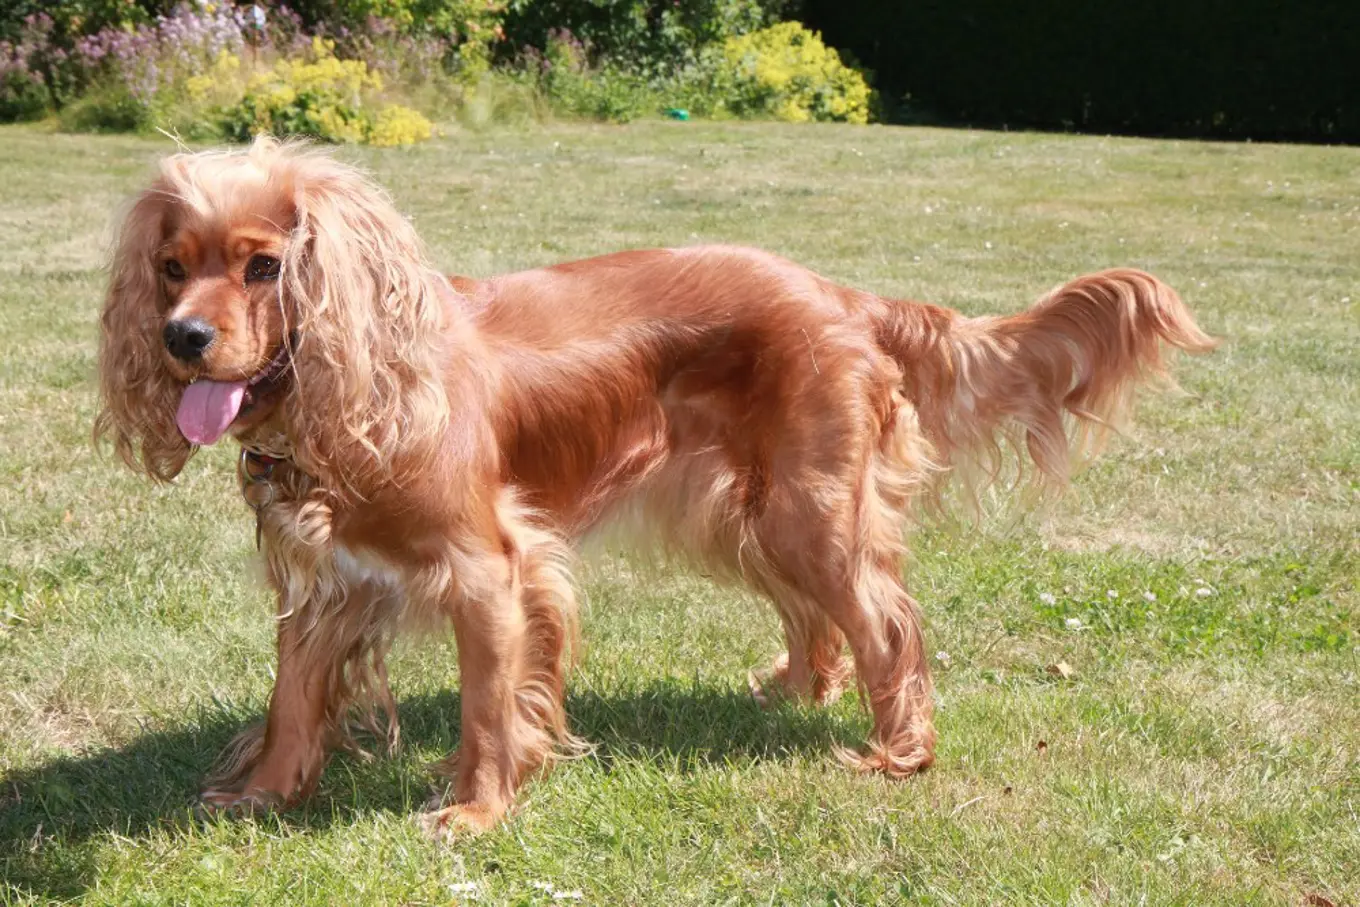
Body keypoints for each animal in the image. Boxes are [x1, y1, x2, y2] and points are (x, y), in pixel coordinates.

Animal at [98, 136, 1224, 837]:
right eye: (170, 266)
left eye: (263, 267)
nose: (181, 339)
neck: (355, 391)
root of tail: (847, 294)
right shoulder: (324, 578)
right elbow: (292, 699)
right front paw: (262, 795)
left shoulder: (491, 570)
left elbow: (487, 708)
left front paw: (475, 810)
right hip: (755, 506)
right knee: (821, 617)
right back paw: (795, 688)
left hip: (810, 508)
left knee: (888, 621)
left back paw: (897, 753)